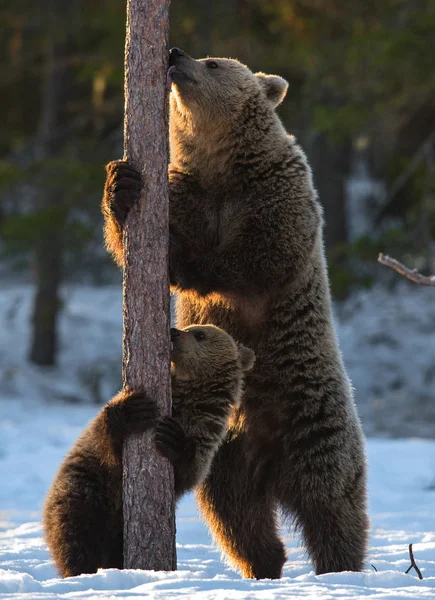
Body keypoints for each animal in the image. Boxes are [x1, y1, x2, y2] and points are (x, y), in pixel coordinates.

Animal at [44, 326, 255, 580]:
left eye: (200, 334)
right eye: (190, 328)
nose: (174, 332)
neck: (189, 399)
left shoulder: (206, 437)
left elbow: (188, 470)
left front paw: (173, 438)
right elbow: (107, 440)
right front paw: (132, 411)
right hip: (86, 490)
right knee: (77, 534)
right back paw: (82, 569)